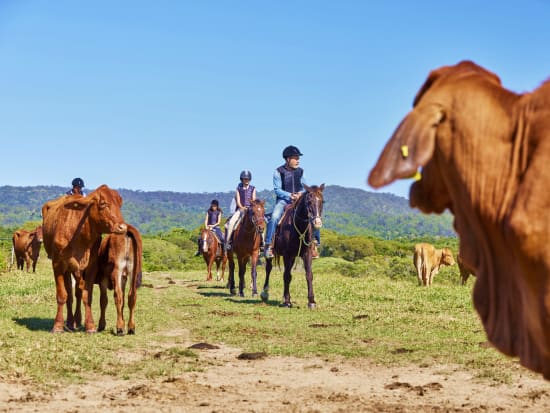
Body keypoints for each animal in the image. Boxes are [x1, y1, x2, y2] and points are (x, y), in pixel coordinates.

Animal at [42, 185, 127, 334]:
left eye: (119, 204)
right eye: (103, 203)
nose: (122, 227)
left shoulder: (91, 266)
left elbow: (87, 296)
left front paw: (90, 325)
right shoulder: (57, 264)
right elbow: (62, 295)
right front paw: (57, 326)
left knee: (77, 293)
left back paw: (75, 321)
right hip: (66, 268)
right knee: (70, 295)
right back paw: (70, 322)